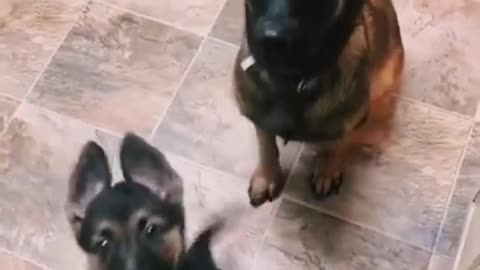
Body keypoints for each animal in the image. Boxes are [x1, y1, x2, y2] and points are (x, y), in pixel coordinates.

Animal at [234, 0, 404, 207]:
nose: (271, 41)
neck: (293, 82)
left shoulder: (348, 121)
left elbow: (336, 144)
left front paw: (327, 170)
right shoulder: (258, 116)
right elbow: (266, 145)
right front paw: (265, 177)